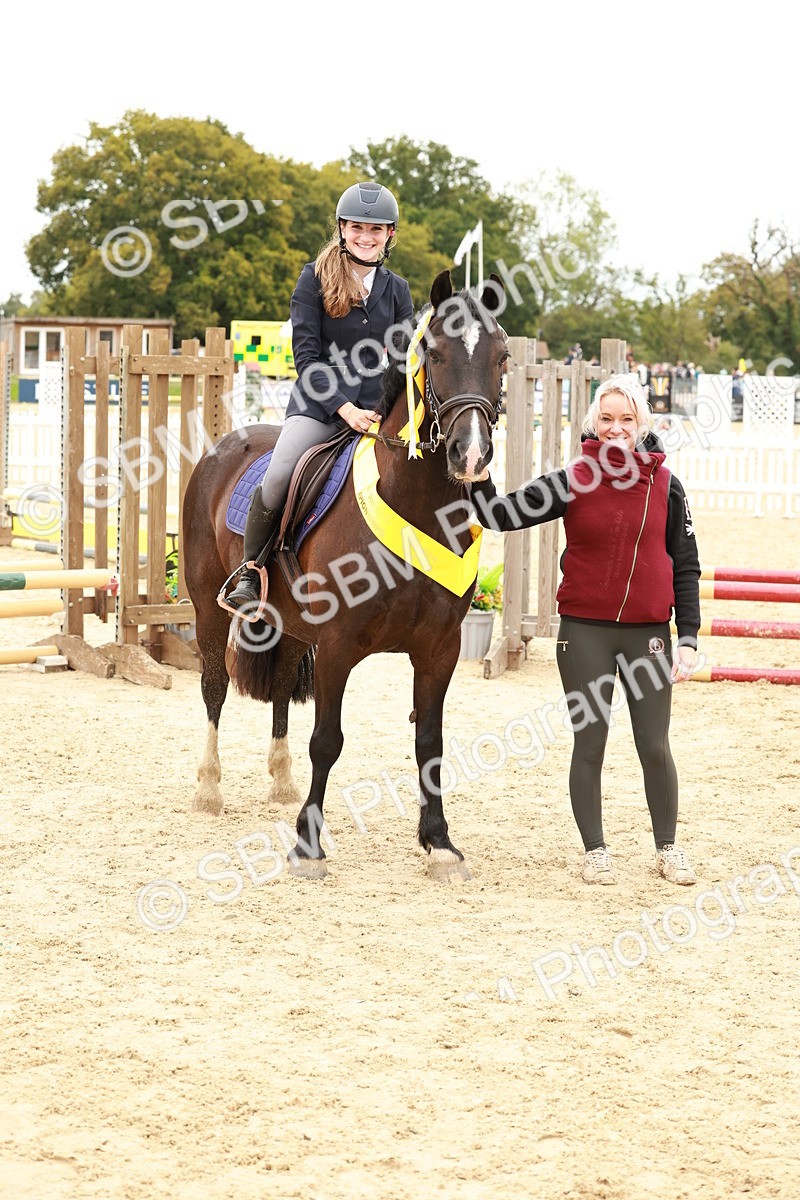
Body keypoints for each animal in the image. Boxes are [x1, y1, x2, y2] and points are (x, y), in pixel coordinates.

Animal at [182, 270, 508, 881]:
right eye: (434, 352)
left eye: (501, 356)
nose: (471, 455)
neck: (415, 505)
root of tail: (222, 447)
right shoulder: (337, 644)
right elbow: (327, 740)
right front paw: (307, 845)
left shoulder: (440, 649)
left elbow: (429, 741)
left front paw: (439, 843)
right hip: (208, 609)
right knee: (214, 689)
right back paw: (209, 791)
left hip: (289, 622)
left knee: (281, 685)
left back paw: (281, 782)